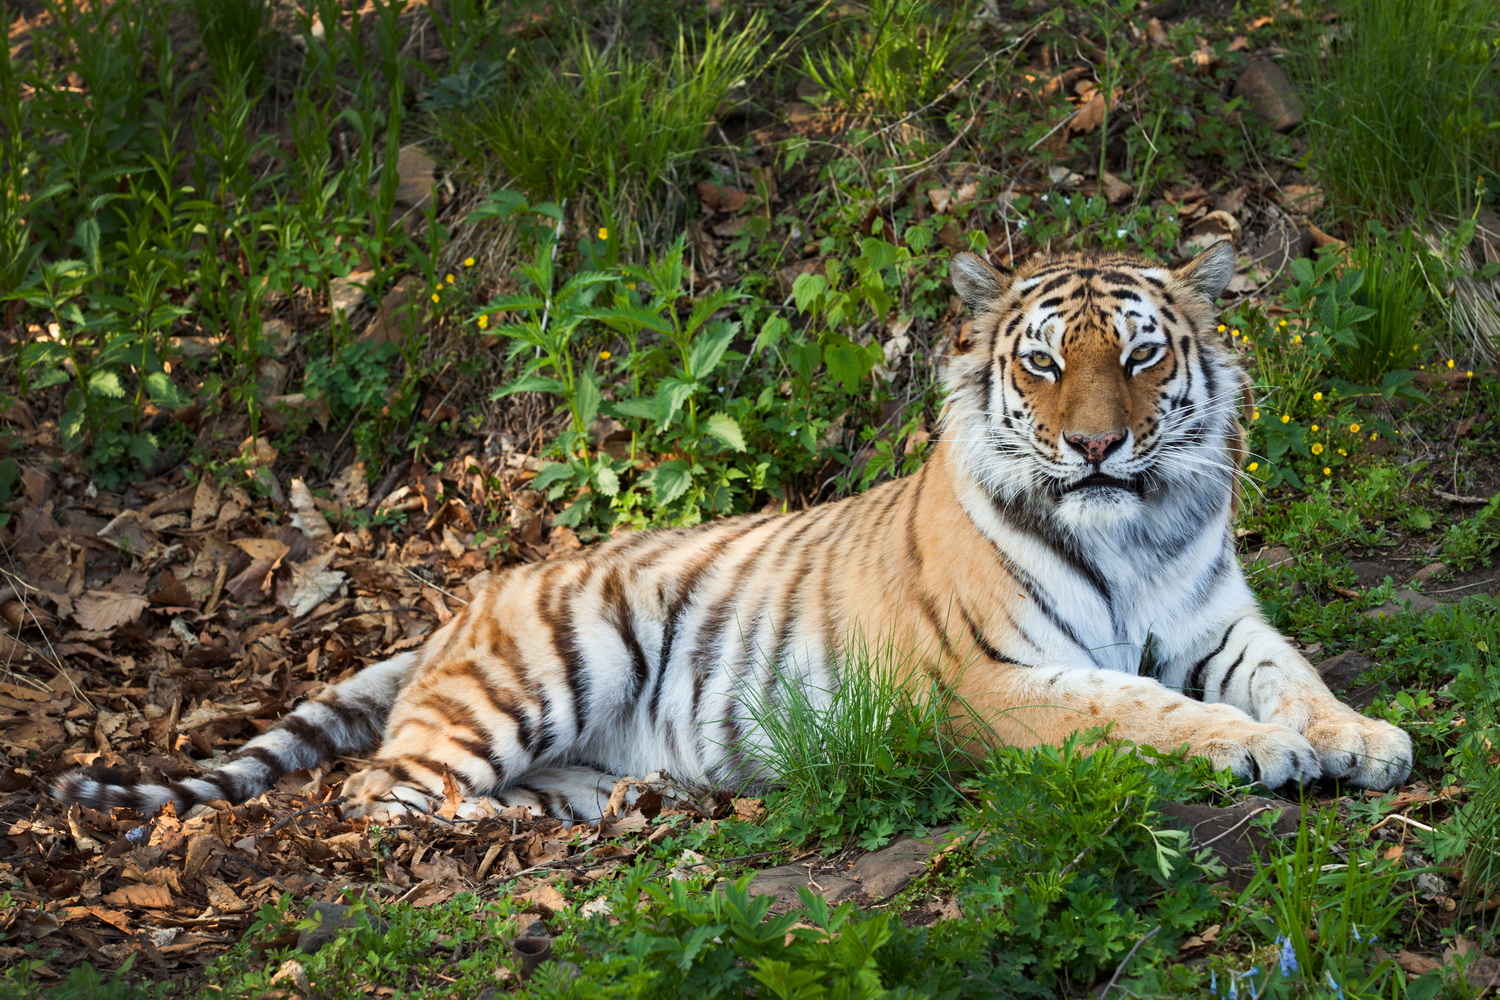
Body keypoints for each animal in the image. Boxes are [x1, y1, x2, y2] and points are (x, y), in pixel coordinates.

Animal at [55, 238, 1416, 827]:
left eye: (1138, 358)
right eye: (1041, 365)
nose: (1092, 446)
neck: (1133, 531)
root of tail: (459, 603)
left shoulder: (1218, 623)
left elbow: (1296, 673)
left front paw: (1361, 738)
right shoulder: (996, 679)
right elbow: (1139, 710)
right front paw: (1257, 750)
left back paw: (628, 805)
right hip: (551, 663)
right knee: (382, 788)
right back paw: (495, 824)